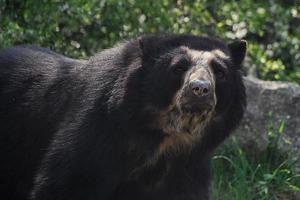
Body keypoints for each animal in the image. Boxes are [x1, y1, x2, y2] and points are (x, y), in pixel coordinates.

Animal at [0, 35, 246, 199]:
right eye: (178, 68)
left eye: (220, 72)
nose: (200, 89)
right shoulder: (97, 130)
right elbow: (68, 183)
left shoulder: (187, 164)